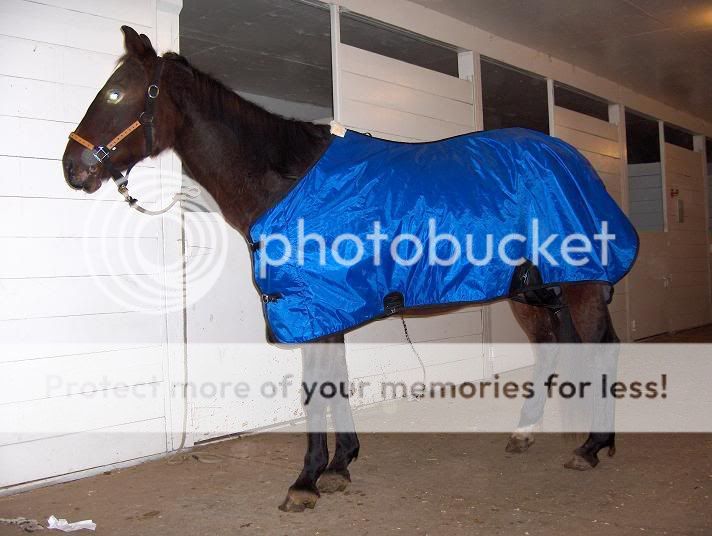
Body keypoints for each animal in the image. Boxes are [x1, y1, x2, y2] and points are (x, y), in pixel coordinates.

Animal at [64, 27, 620, 512]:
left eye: (115, 94)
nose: (72, 167)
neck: (285, 181)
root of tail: (572, 158)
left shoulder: (312, 307)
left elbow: (317, 387)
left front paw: (307, 480)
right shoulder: (326, 308)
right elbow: (337, 379)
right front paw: (340, 464)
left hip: (581, 284)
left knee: (600, 347)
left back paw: (593, 446)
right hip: (534, 291)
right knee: (555, 349)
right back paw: (534, 433)